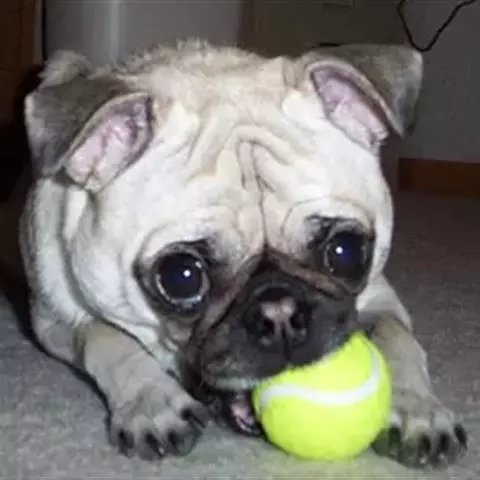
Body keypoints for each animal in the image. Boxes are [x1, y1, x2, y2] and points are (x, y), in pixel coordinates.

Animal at [19, 40, 467, 468]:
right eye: (181, 277)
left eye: (346, 251)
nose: (280, 312)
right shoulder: (54, 322)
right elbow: (104, 335)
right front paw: (151, 399)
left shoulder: (381, 297)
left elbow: (398, 337)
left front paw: (418, 409)